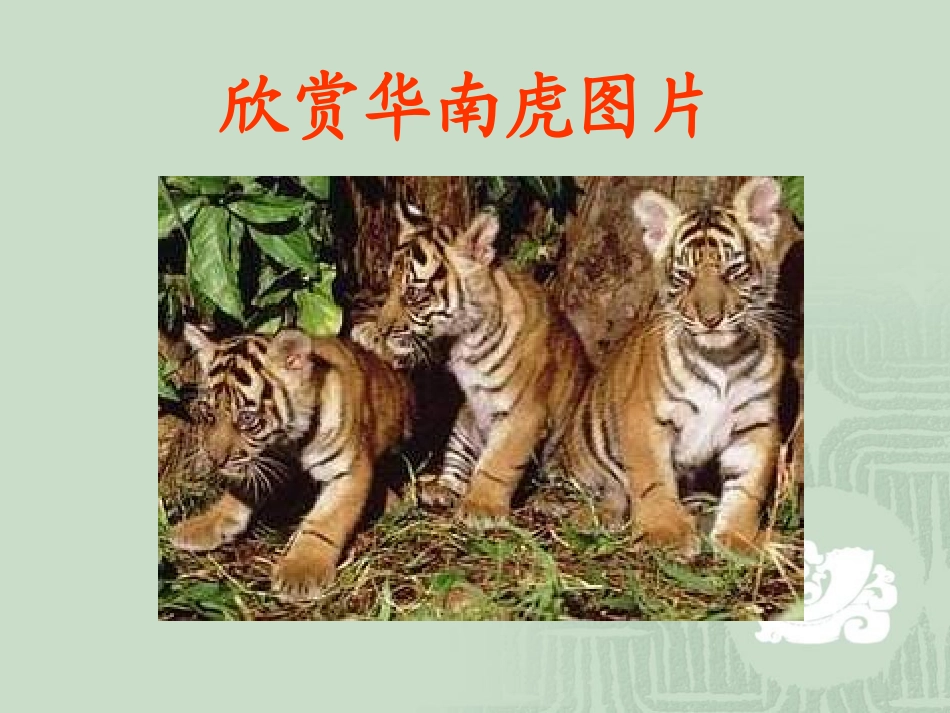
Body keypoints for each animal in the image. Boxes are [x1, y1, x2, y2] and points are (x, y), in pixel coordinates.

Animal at [169, 325, 413, 601]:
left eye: (247, 418)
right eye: (209, 414)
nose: (215, 459)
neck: (288, 441)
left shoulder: (349, 470)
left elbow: (325, 521)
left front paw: (302, 570)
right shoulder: (265, 460)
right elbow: (238, 492)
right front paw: (206, 522)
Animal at [364, 202, 591, 522]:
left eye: (415, 294)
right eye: (389, 286)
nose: (383, 329)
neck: (464, 339)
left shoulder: (524, 413)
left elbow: (499, 463)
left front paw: (480, 508)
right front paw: (370, 335)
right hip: (465, 423)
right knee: (456, 464)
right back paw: (439, 489)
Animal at [561, 177, 787, 556]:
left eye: (732, 271)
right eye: (685, 276)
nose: (710, 319)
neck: (722, 359)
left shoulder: (756, 423)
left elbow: (748, 487)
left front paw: (739, 538)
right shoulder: (644, 418)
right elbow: (652, 477)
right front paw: (665, 532)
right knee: (606, 491)